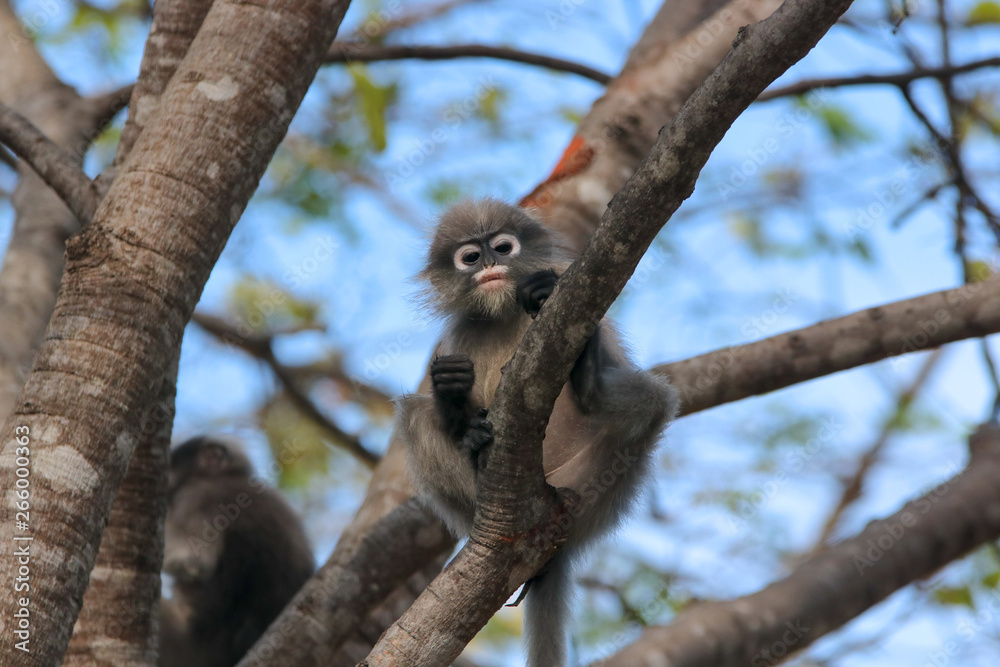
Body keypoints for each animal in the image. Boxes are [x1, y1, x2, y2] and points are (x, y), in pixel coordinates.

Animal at [392, 200, 680, 667]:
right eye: (470, 257)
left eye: (502, 247)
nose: (489, 264)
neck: (504, 312)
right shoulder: (457, 336)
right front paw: (451, 397)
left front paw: (545, 294)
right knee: (413, 415)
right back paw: (475, 451)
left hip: (585, 488)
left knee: (653, 401)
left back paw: (589, 382)